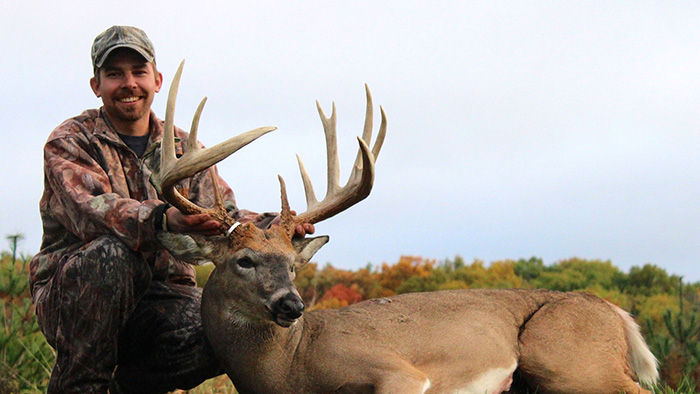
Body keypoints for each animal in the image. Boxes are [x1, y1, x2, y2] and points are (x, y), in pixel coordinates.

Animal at [152, 60, 656, 392]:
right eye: (244, 260)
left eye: (293, 265)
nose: (292, 304)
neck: (290, 369)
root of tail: (616, 312)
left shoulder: (398, 372)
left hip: (561, 354)